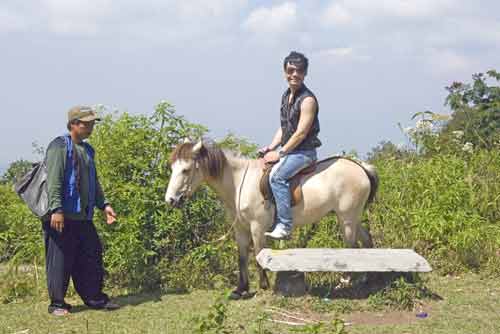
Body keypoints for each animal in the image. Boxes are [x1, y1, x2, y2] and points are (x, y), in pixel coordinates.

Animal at [165, 140, 378, 298]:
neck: (238, 183)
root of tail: (361, 167)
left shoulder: (257, 227)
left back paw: (345, 282)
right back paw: (368, 279)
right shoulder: (240, 228)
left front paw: (263, 285)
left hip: (346, 218)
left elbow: (259, 254)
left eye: (185, 170)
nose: (171, 200)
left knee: (351, 246)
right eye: (172, 168)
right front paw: (241, 289)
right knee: (366, 241)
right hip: (353, 217)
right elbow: (242, 257)